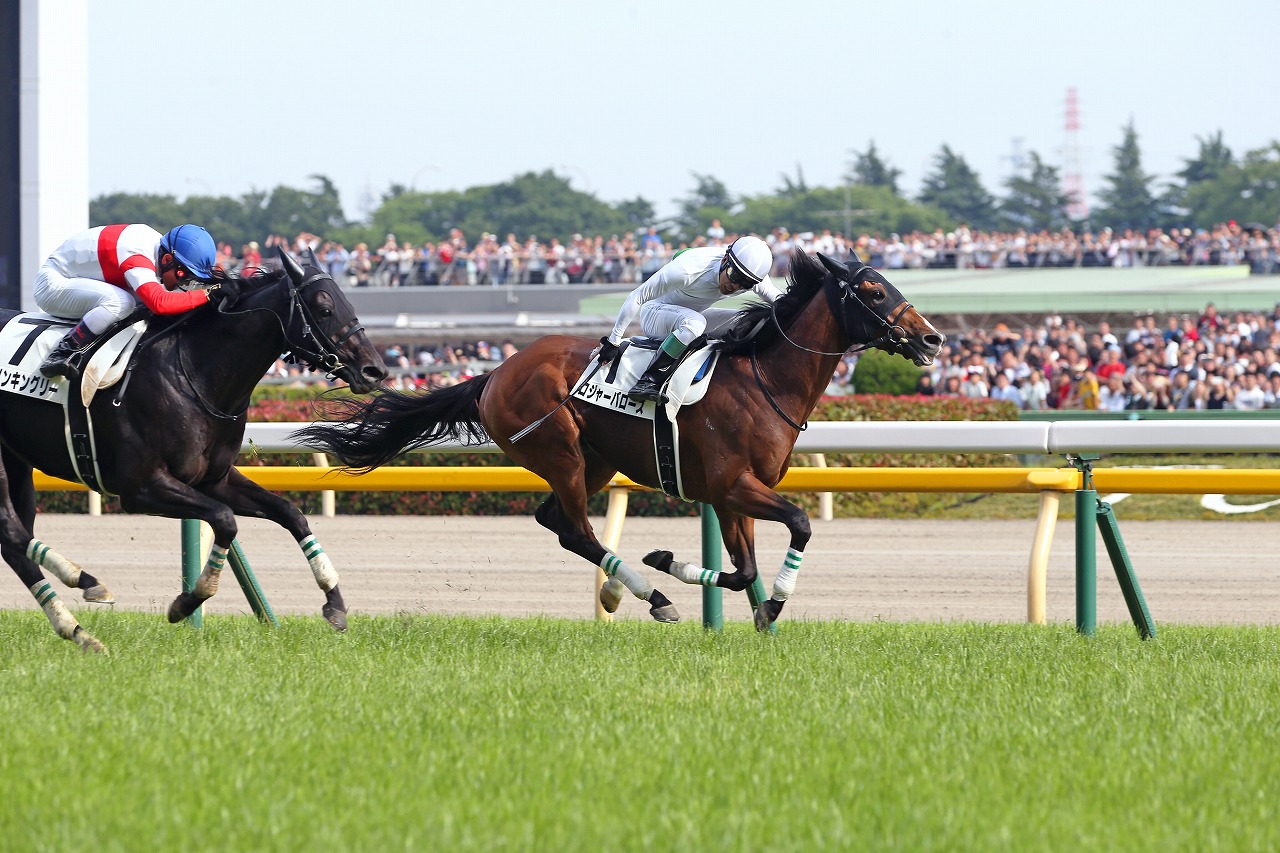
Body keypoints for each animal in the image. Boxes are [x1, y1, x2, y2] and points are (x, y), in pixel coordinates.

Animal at [0, 247, 384, 650]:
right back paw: (85, 586)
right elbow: (225, 520)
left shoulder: (214, 480)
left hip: (19, 462)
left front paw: (335, 603)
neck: (194, 374)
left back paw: (76, 627)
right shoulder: (142, 488)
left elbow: (291, 513)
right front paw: (187, 602)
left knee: (13, 542)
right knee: (12, 532)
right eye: (324, 308)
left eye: (347, 302)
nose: (374, 370)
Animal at [294, 249, 947, 627]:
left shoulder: (730, 493)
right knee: (579, 530)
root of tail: (495, 373)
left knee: (557, 524)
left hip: (596, 462)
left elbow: (743, 570)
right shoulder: (733, 485)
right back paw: (648, 595)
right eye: (873, 292)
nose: (932, 338)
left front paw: (739, 601)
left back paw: (634, 587)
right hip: (559, 452)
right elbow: (800, 525)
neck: (764, 380)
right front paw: (771, 602)